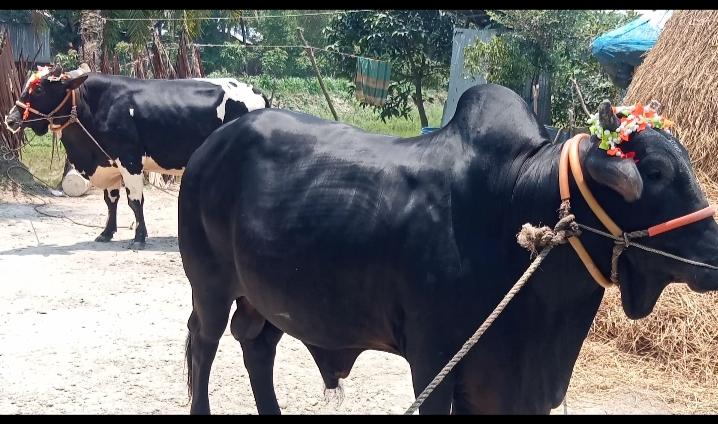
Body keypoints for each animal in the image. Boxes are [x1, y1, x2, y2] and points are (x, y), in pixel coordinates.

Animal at [4, 63, 268, 248]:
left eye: (39, 89)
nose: (10, 119)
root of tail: (256, 90)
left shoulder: (129, 159)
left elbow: (135, 201)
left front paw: (139, 237)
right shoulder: (109, 162)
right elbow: (111, 201)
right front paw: (106, 233)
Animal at [179, 83, 716, 414]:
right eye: (657, 171)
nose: (713, 258)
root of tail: (210, 147)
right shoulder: (435, 361)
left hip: (268, 298)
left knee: (256, 347)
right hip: (209, 286)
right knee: (203, 343)